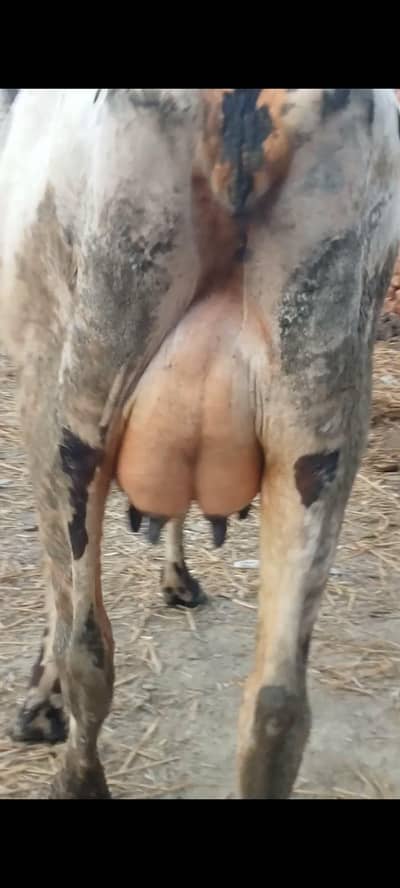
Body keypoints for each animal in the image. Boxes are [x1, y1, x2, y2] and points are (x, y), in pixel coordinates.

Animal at [0, 89, 399, 800]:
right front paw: (178, 576)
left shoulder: (35, 366)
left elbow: (55, 574)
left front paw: (39, 703)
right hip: (322, 414)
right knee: (276, 704)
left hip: (89, 379)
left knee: (88, 647)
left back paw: (77, 773)